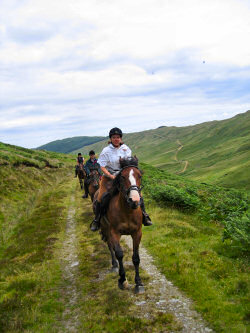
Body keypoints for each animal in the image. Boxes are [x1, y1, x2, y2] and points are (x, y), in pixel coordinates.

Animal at [94, 157, 145, 292]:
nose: (134, 200)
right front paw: (122, 280)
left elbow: (136, 257)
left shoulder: (137, 233)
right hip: (105, 228)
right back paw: (114, 264)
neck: (127, 211)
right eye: (122, 177)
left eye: (139, 175)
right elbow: (119, 254)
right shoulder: (114, 232)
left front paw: (138, 283)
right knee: (110, 246)